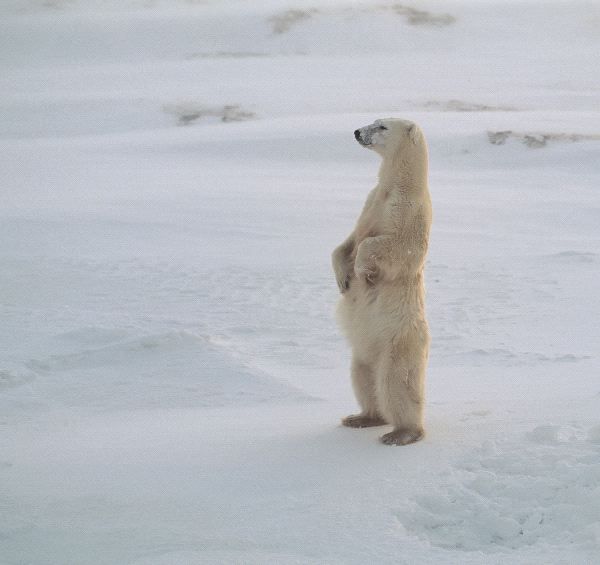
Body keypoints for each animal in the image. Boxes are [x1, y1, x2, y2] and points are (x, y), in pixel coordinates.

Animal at [332, 118, 432, 446]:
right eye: (373, 121)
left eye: (383, 126)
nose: (357, 132)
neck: (396, 185)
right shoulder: (371, 202)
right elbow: (347, 242)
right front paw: (343, 278)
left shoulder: (410, 211)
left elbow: (396, 246)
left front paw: (363, 270)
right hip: (363, 354)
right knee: (363, 379)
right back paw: (360, 417)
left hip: (399, 344)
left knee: (395, 384)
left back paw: (401, 433)